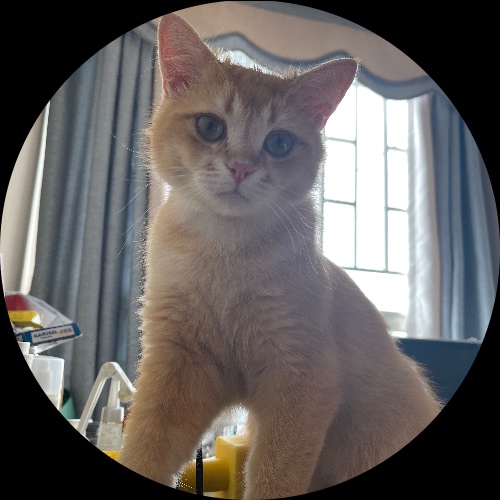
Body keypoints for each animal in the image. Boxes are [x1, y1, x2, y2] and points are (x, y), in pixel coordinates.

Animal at [118, 13, 442, 499]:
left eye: (280, 144)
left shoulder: (301, 379)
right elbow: (145, 445)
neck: (225, 253)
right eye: (210, 127)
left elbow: (275, 475)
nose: (240, 168)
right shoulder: (178, 363)